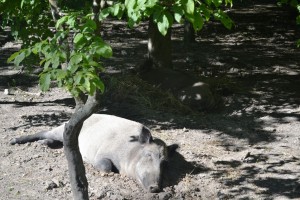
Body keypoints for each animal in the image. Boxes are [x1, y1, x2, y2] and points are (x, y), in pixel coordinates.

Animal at [9, 113, 178, 193]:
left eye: (164, 163)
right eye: (148, 155)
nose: (155, 187)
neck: (129, 151)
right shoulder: (103, 153)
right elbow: (106, 166)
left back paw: (43, 144)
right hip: (61, 129)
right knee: (45, 132)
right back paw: (14, 141)